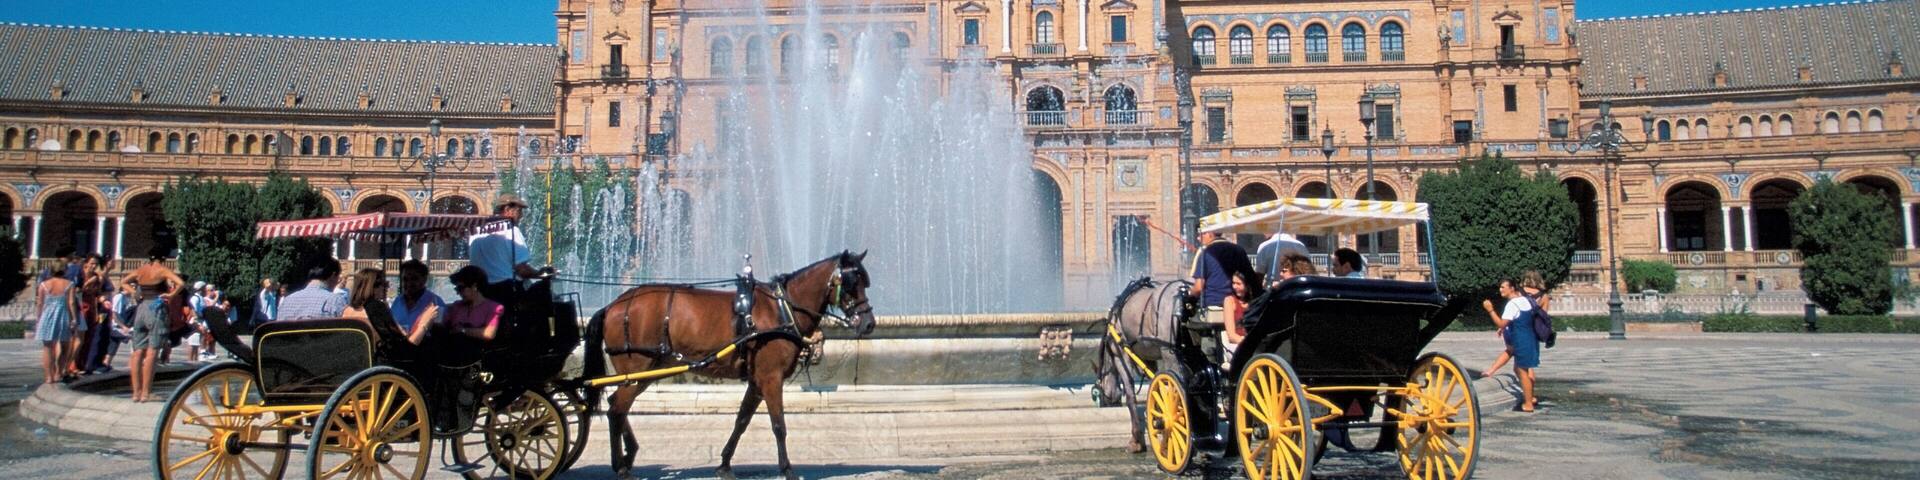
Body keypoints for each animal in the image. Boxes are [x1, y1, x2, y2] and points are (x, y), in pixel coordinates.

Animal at [582, 251, 878, 479]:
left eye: (865, 282)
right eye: (851, 283)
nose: (869, 323)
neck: (782, 309)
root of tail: (613, 305)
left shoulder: (757, 381)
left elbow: (742, 420)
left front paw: (725, 463)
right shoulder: (771, 378)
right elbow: (779, 425)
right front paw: (787, 468)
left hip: (643, 372)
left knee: (617, 406)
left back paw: (628, 455)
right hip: (639, 369)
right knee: (617, 409)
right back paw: (620, 466)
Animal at [1092, 276, 1190, 453]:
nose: (1110, 401)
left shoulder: (1120, 354)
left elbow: (1131, 394)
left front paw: (1136, 440)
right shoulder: (1150, 360)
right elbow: (1157, 393)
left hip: (1170, 354)